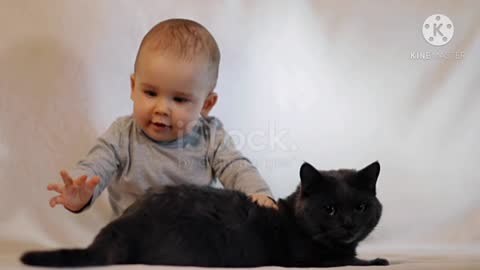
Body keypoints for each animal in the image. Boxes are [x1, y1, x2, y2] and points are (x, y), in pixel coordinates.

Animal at [20, 161, 388, 266]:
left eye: (360, 207)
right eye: (329, 209)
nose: (349, 224)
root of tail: (122, 224)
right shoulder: (305, 260)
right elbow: (349, 262)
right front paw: (377, 261)